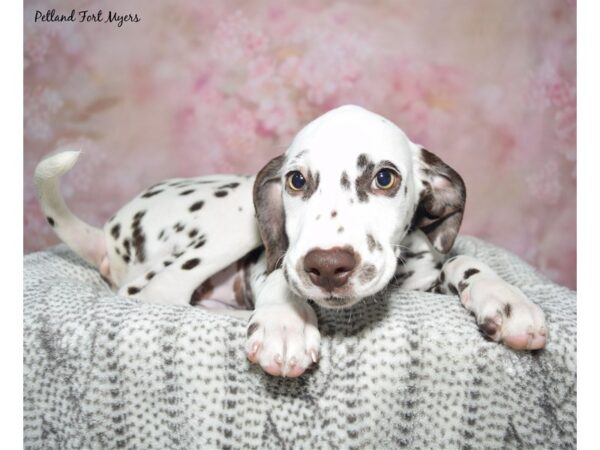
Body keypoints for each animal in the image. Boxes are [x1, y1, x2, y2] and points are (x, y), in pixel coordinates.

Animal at [34, 104, 548, 376]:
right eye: (296, 181)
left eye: (384, 178)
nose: (328, 265)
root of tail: (108, 233)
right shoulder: (272, 257)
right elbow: (279, 273)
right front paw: (285, 324)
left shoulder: (427, 271)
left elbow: (459, 263)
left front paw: (507, 300)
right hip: (234, 213)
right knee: (157, 292)